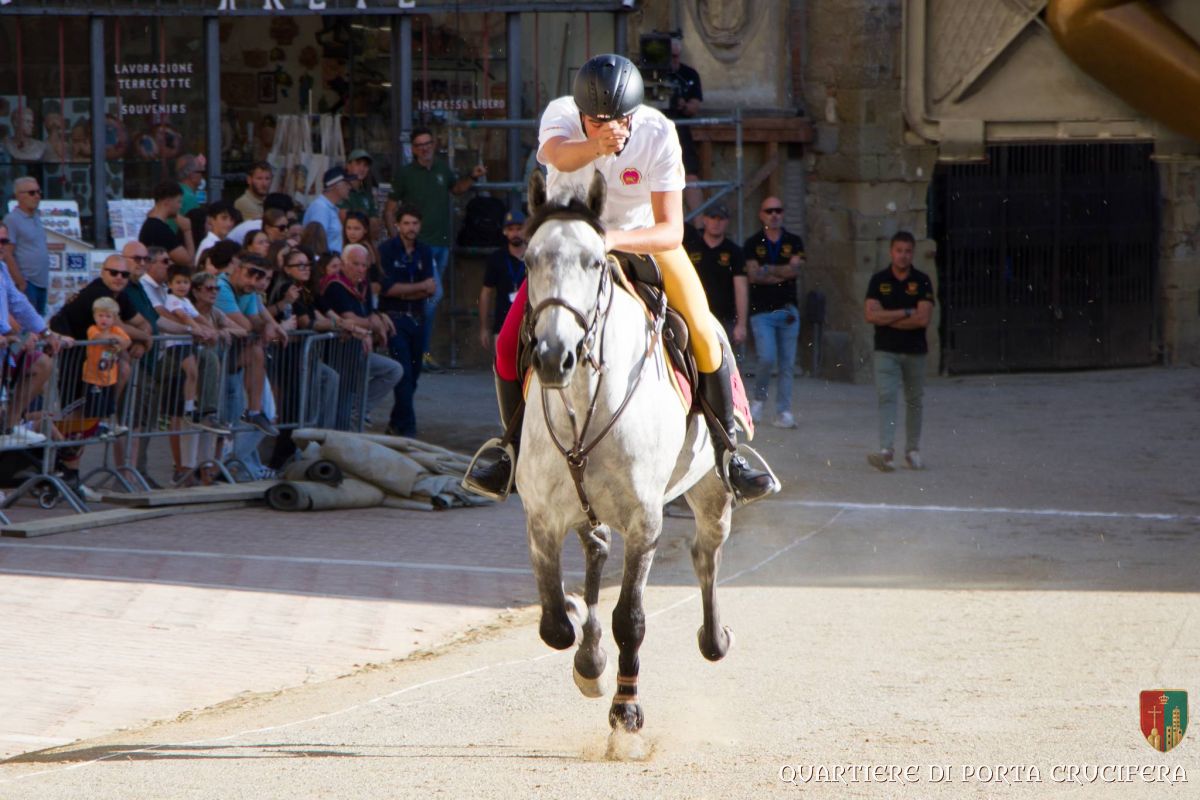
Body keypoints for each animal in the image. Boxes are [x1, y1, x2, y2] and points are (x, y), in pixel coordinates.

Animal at [517, 169, 736, 750]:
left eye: (595, 262)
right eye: (529, 259)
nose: (554, 356)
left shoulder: (645, 519)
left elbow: (630, 618)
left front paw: (627, 714)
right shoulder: (541, 518)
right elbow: (554, 622)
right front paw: (584, 652)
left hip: (712, 492)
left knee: (706, 555)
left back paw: (715, 638)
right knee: (596, 552)